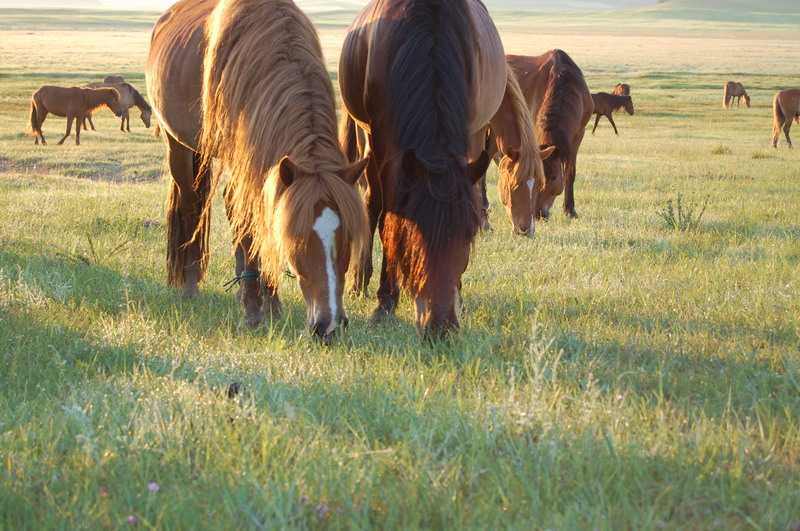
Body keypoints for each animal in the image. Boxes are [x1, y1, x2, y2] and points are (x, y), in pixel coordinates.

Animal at [146, 0, 369, 341]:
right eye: (297, 239)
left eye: (347, 239)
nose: (329, 326)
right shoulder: (244, 165)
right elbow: (249, 229)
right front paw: (253, 313)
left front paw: (272, 304)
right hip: (179, 147)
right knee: (192, 205)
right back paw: (190, 285)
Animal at [339, 0, 502, 336]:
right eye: (411, 235)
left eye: (468, 236)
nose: (441, 327)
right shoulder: (381, 137)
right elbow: (387, 215)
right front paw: (385, 303)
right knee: (372, 202)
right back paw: (359, 280)